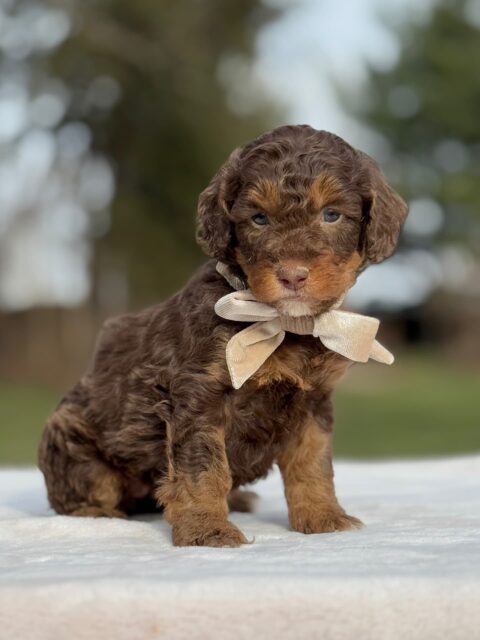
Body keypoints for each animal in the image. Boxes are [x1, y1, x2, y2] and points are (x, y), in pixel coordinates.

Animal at [38, 127, 408, 548]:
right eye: (259, 218)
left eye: (331, 214)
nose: (293, 275)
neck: (282, 324)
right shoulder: (199, 394)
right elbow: (203, 467)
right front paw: (207, 528)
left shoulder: (313, 402)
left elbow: (312, 463)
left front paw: (322, 516)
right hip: (73, 436)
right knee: (83, 490)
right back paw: (99, 513)